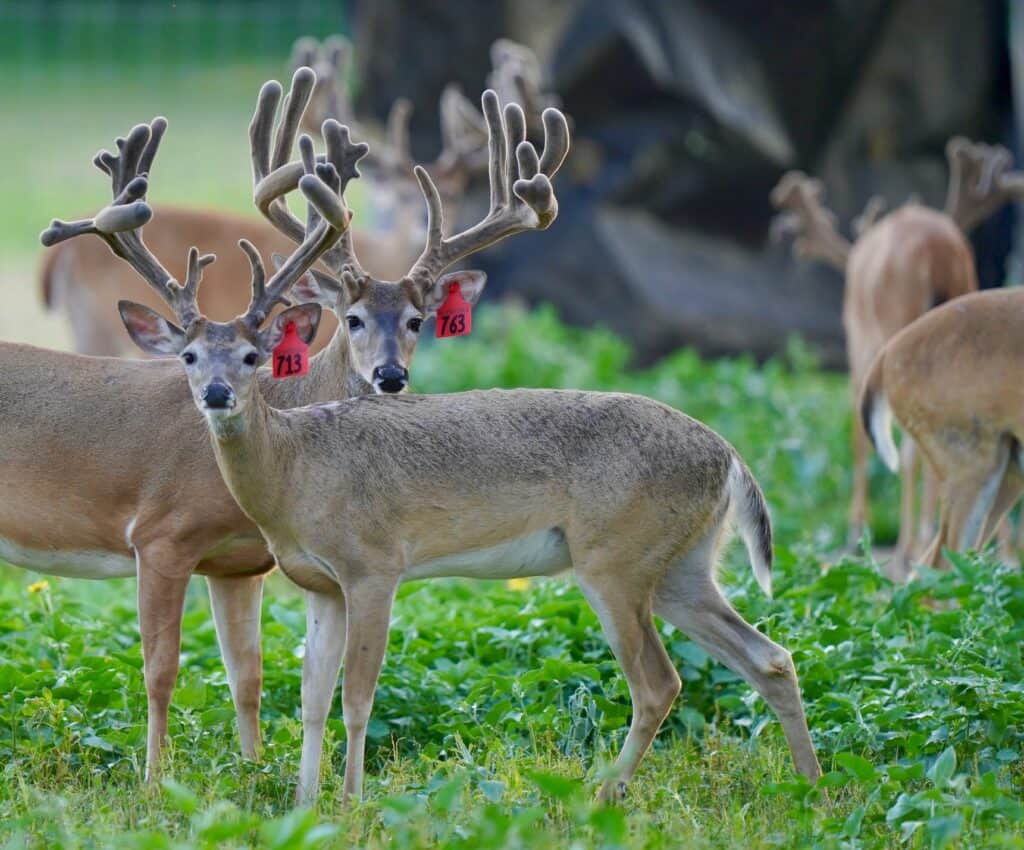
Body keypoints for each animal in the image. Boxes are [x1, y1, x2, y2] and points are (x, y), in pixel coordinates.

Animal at [24, 66, 565, 782]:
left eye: (419, 320)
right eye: (351, 318)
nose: (390, 378)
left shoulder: (242, 563)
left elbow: (249, 675)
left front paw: (255, 773)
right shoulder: (162, 538)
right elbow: (166, 670)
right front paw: (156, 784)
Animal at [87, 97, 822, 807]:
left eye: (250, 356)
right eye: (187, 356)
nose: (214, 394)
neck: (297, 468)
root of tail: (730, 456)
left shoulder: (375, 564)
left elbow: (358, 696)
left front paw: (351, 802)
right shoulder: (319, 583)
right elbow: (311, 697)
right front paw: (300, 802)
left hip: (615, 556)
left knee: (659, 681)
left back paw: (603, 794)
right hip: (681, 565)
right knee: (770, 656)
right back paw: (810, 787)